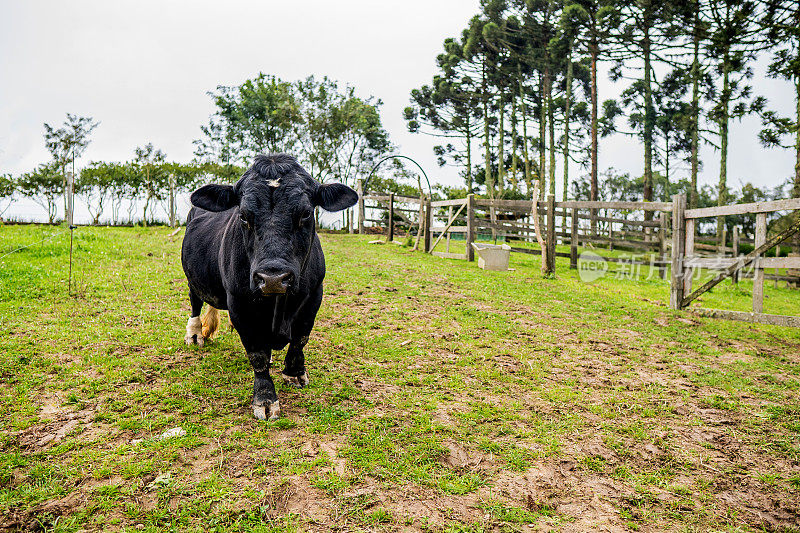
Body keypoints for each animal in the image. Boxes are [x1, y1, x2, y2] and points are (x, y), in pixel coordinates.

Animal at [183, 154, 358, 420]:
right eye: (244, 216)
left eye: (305, 214)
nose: (273, 278)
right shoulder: (239, 302)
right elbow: (257, 354)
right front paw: (265, 398)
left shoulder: (314, 294)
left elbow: (301, 337)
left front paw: (295, 372)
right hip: (193, 278)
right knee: (196, 301)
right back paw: (194, 334)